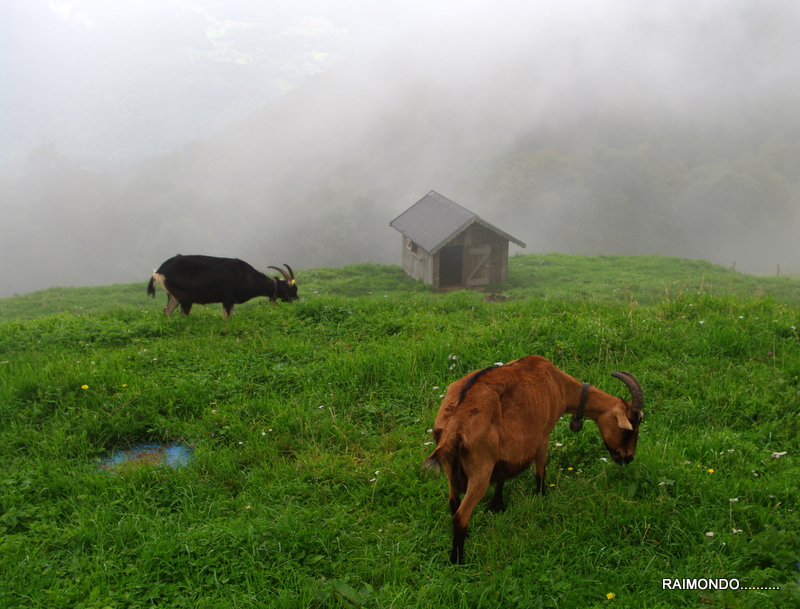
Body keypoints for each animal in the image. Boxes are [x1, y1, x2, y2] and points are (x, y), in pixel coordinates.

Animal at [424, 354, 644, 564]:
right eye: (631, 427)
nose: (628, 457)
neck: (559, 384)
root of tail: (456, 423)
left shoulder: (506, 448)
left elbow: (502, 474)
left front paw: (497, 505)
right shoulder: (543, 434)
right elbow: (540, 469)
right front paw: (541, 496)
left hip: (451, 467)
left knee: (453, 503)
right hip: (480, 467)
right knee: (461, 514)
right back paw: (458, 560)